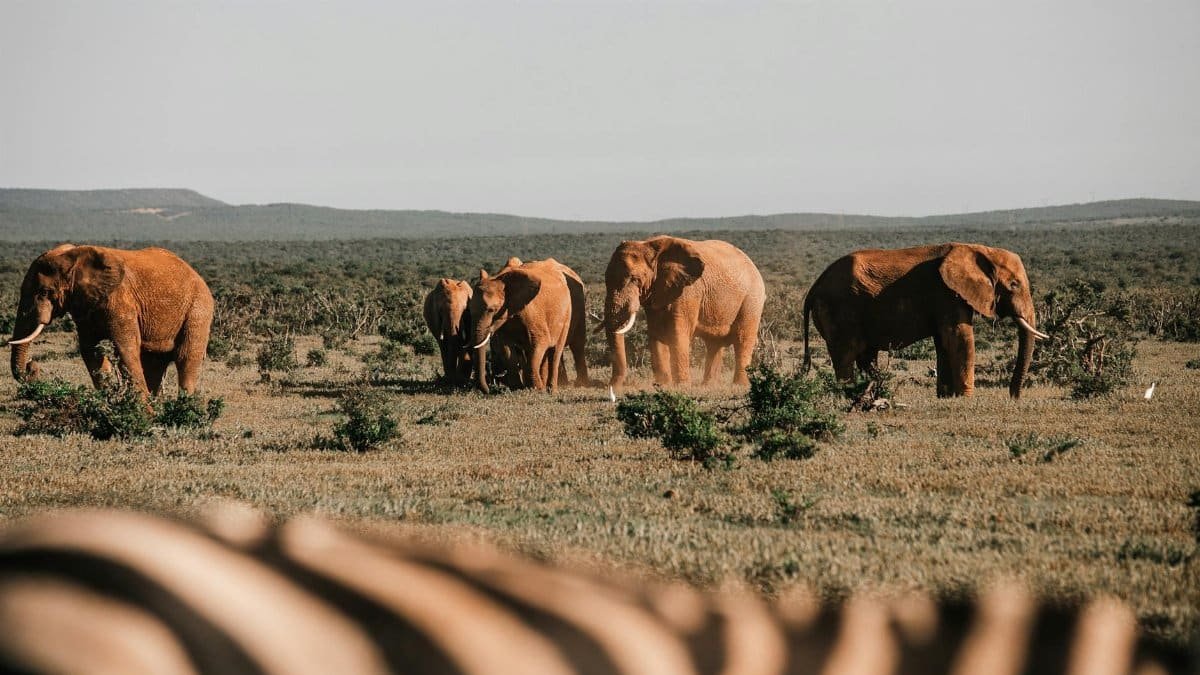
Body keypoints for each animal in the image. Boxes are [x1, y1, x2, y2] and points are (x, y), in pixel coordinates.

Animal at [9, 244, 214, 398]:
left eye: (44, 292)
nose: (31, 366)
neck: (75, 256)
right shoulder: (84, 305)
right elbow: (91, 350)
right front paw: (108, 400)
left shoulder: (121, 300)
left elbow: (126, 348)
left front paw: (142, 413)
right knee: (154, 362)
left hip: (199, 309)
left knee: (186, 358)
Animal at [469, 261, 571, 394]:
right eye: (469, 309)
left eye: (491, 310)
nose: (488, 390)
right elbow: (506, 349)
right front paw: (517, 389)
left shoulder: (532, 314)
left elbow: (539, 344)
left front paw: (537, 390)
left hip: (566, 315)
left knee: (555, 352)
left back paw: (551, 390)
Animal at [602, 236, 766, 389]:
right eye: (606, 280)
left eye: (634, 279)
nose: (613, 388)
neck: (650, 247)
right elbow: (656, 334)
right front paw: (662, 386)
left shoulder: (687, 292)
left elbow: (677, 333)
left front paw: (682, 387)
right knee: (714, 344)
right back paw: (708, 386)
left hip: (752, 300)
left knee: (743, 340)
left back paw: (740, 385)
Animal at [801, 242, 1049, 399]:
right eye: (1014, 284)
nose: (1013, 397)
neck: (978, 249)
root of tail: (814, 287)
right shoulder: (947, 293)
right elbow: (959, 338)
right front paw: (966, 398)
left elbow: (944, 342)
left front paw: (947, 397)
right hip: (839, 309)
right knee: (846, 355)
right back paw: (848, 396)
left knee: (866, 356)